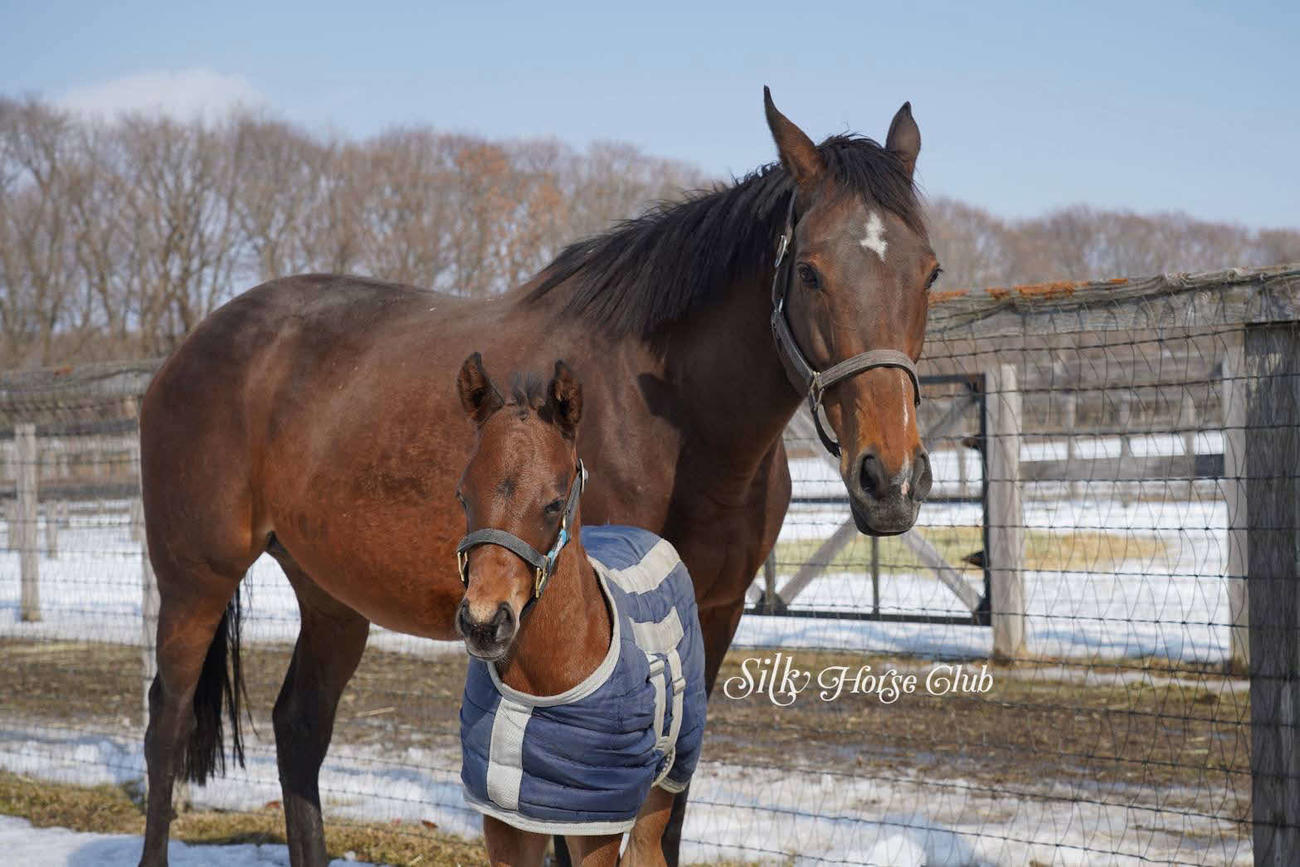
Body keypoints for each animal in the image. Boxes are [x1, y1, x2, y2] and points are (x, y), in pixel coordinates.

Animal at [452, 355, 705, 866]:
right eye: (464, 495)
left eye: (553, 503)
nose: (484, 623)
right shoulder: (505, 818)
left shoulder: (597, 823)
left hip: (664, 782)